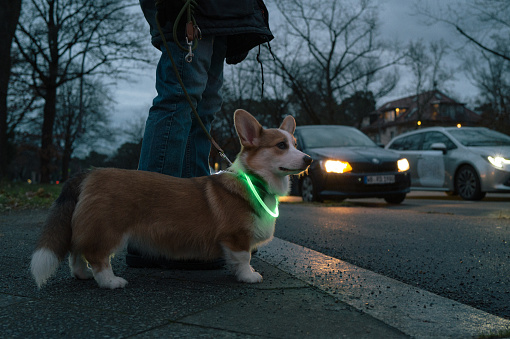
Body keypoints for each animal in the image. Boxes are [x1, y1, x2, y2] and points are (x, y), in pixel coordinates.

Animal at [30, 111, 314, 290]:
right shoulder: (237, 237)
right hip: (108, 229)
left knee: (76, 251)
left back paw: (82, 275)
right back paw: (111, 282)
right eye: (280, 146)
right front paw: (249, 276)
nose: (309, 159)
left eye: (295, 144)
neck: (255, 182)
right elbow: (244, 259)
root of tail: (88, 173)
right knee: (96, 256)